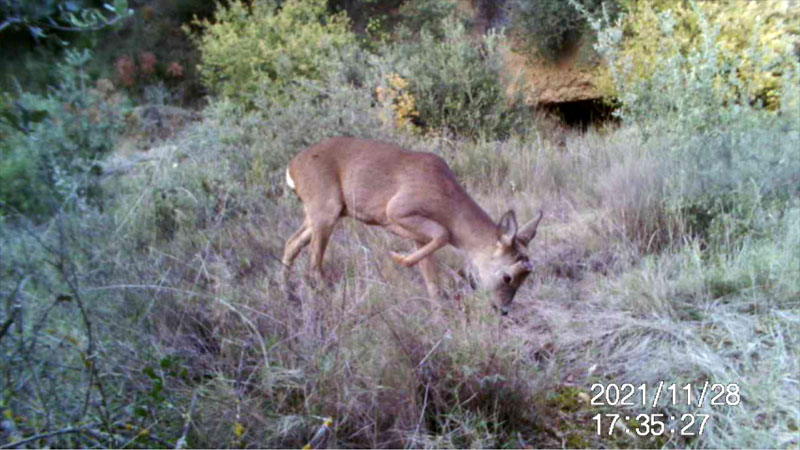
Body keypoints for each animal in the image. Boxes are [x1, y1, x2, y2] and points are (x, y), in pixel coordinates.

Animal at [282, 137, 544, 316]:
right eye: (508, 277)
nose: (503, 310)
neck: (446, 200)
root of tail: (291, 167)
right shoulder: (397, 209)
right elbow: (443, 234)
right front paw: (398, 257)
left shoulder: (420, 237)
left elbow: (432, 280)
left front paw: (440, 317)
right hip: (325, 208)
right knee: (314, 263)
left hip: (318, 214)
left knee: (291, 244)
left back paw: (289, 295)